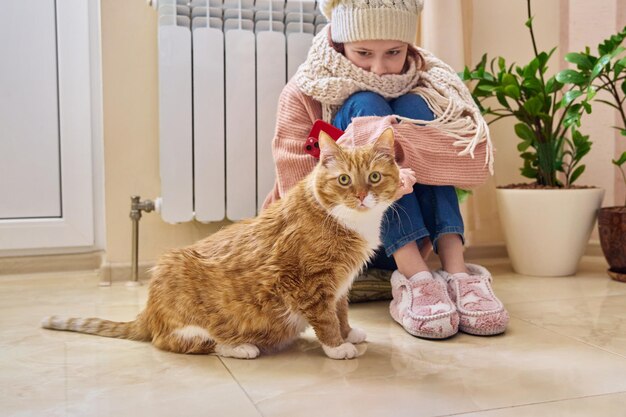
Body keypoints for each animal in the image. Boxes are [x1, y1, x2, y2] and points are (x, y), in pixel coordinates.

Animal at [41, 128, 398, 360]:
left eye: (374, 177)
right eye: (344, 180)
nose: (361, 196)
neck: (349, 222)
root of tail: (149, 311)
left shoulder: (340, 285)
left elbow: (340, 311)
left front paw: (349, 332)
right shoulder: (309, 283)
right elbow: (325, 319)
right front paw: (337, 346)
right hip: (179, 292)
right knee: (181, 342)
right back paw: (239, 347)